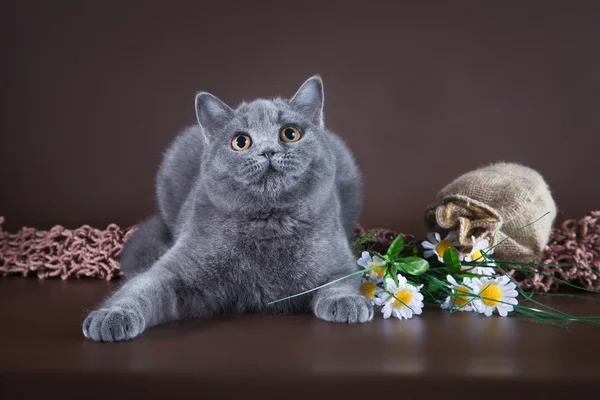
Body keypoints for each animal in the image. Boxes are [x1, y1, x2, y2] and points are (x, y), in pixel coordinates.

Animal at [79, 76, 370, 340]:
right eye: (241, 142)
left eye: (290, 133)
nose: (268, 150)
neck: (268, 225)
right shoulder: (174, 270)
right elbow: (140, 288)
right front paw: (111, 316)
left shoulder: (339, 260)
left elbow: (341, 282)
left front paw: (348, 303)